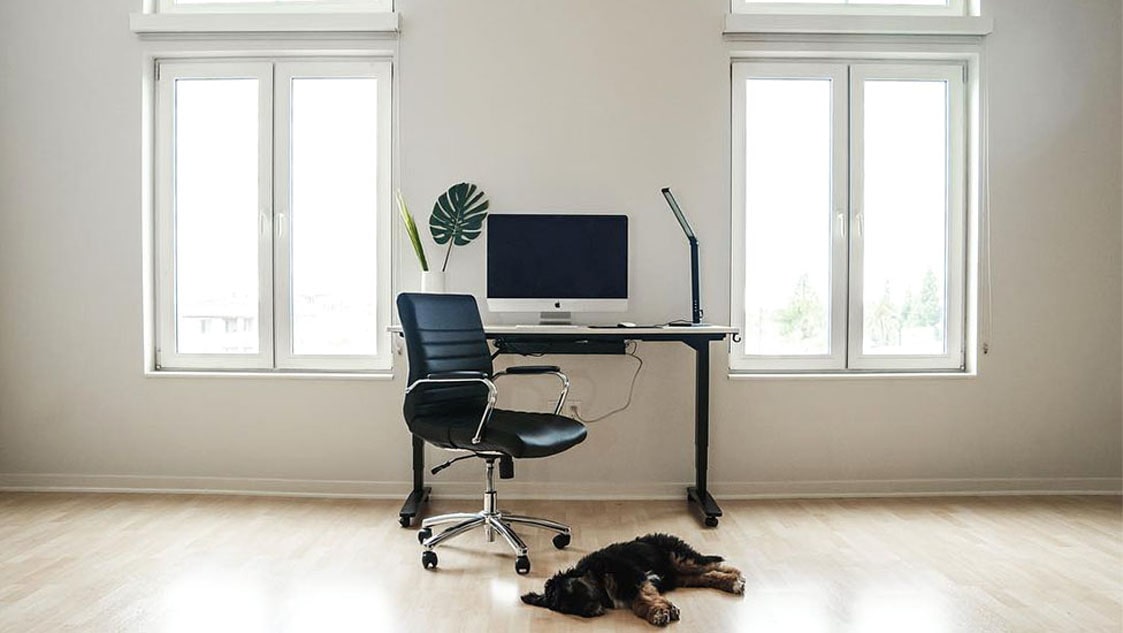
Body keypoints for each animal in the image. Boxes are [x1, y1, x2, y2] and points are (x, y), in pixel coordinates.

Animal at [518, 531, 745, 624]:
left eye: (570, 590)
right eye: (565, 608)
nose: (590, 611)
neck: (596, 577)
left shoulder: (631, 575)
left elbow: (642, 597)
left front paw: (659, 612)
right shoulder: (635, 581)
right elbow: (639, 602)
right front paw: (659, 612)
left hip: (680, 558)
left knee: (711, 564)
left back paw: (736, 577)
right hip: (679, 576)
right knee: (707, 575)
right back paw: (732, 582)